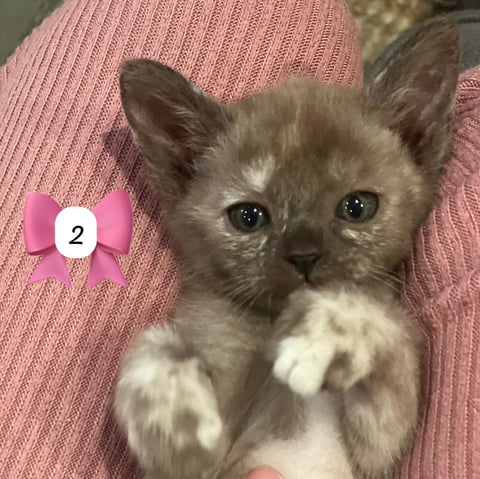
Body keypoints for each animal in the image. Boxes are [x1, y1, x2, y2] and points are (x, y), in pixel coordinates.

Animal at [114, 24, 460, 479]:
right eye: (248, 217)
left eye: (357, 207)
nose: (304, 255)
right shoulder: (200, 467)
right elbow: (152, 347)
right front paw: (172, 410)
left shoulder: (379, 453)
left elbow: (380, 325)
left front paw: (325, 329)